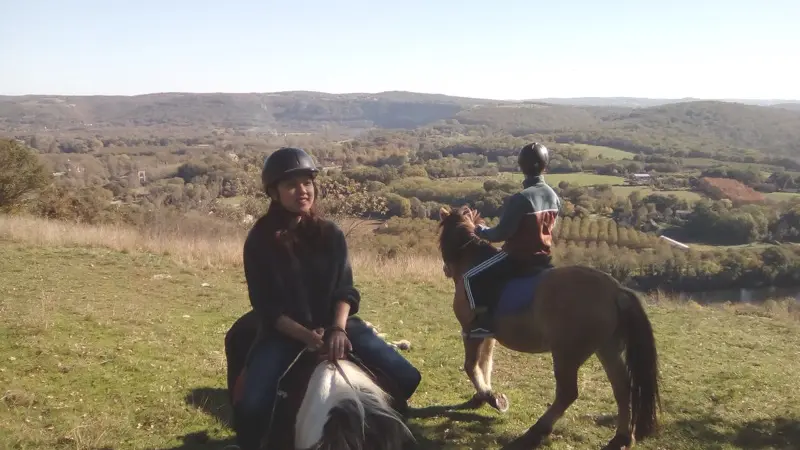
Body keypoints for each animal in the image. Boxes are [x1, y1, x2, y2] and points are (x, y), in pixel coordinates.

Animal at [438, 206, 664, 448]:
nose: (446, 270)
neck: (472, 261)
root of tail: (615, 290)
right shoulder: (488, 335)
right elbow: (485, 364)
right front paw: (485, 395)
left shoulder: (471, 331)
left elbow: (471, 366)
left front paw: (491, 398)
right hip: (606, 348)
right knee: (622, 387)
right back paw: (622, 437)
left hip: (567, 354)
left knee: (568, 393)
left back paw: (538, 429)